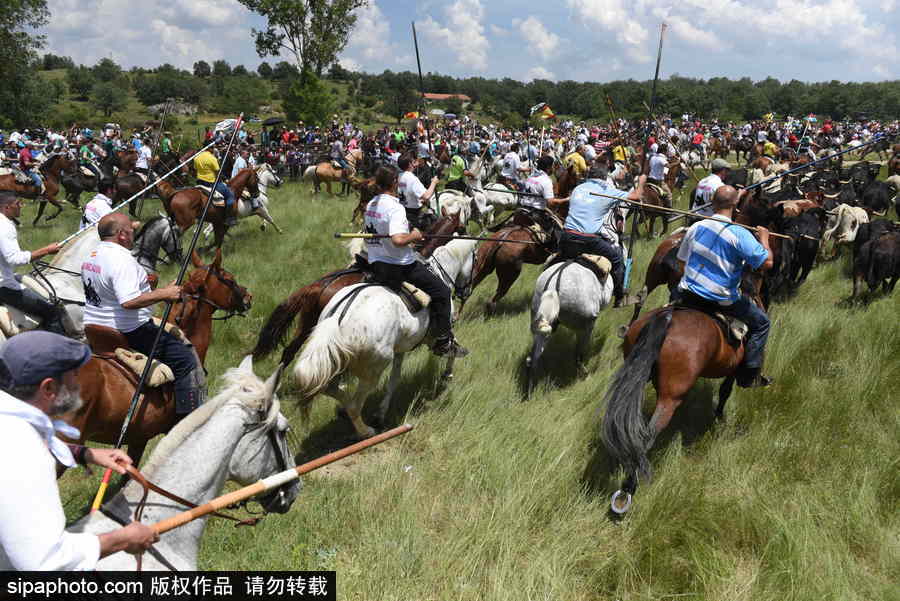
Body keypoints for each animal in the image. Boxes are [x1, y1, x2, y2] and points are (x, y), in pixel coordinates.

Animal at [294, 237, 478, 438]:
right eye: (475, 260)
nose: (466, 292)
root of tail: (336, 319)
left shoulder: (401, 348)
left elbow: (394, 379)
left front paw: (381, 412)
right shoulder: (438, 332)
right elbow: (451, 345)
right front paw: (448, 372)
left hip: (338, 362)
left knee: (332, 389)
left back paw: (344, 407)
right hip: (373, 369)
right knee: (355, 405)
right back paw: (366, 431)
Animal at [524, 206, 628, 394]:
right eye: (620, 216)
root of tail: (554, 286)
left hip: (540, 322)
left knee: (533, 359)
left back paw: (530, 390)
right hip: (585, 325)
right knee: (578, 356)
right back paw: (585, 375)